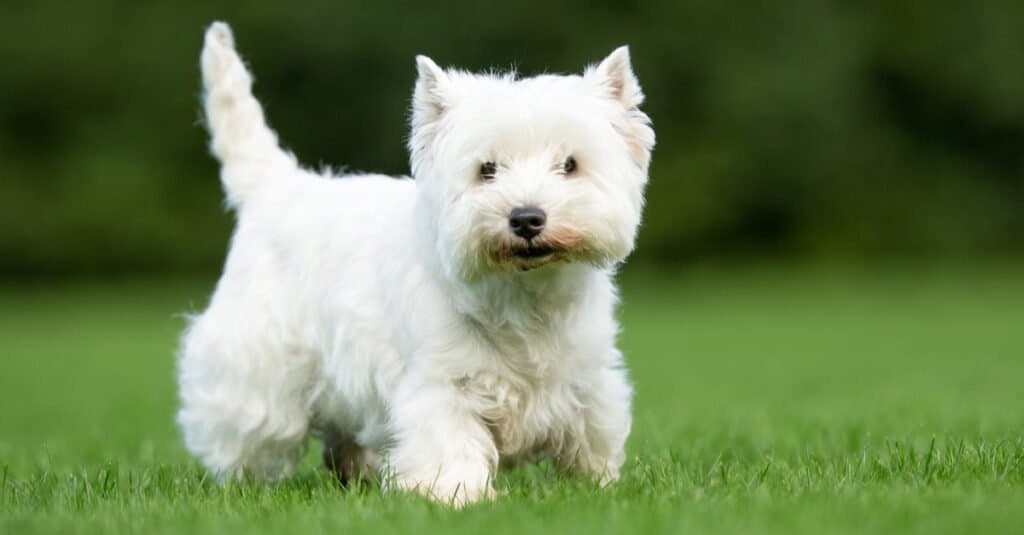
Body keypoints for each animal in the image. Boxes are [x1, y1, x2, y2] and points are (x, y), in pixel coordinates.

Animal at [177, 21, 655, 504]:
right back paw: (243, 484)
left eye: (570, 164)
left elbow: (590, 438)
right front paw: (457, 495)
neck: (526, 296)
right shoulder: (443, 383)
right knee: (247, 430)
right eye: (487, 169)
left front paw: (596, 485)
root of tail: (276, 187)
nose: (526, 218)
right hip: (256, 364)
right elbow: (451, 443)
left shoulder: (588, 379)